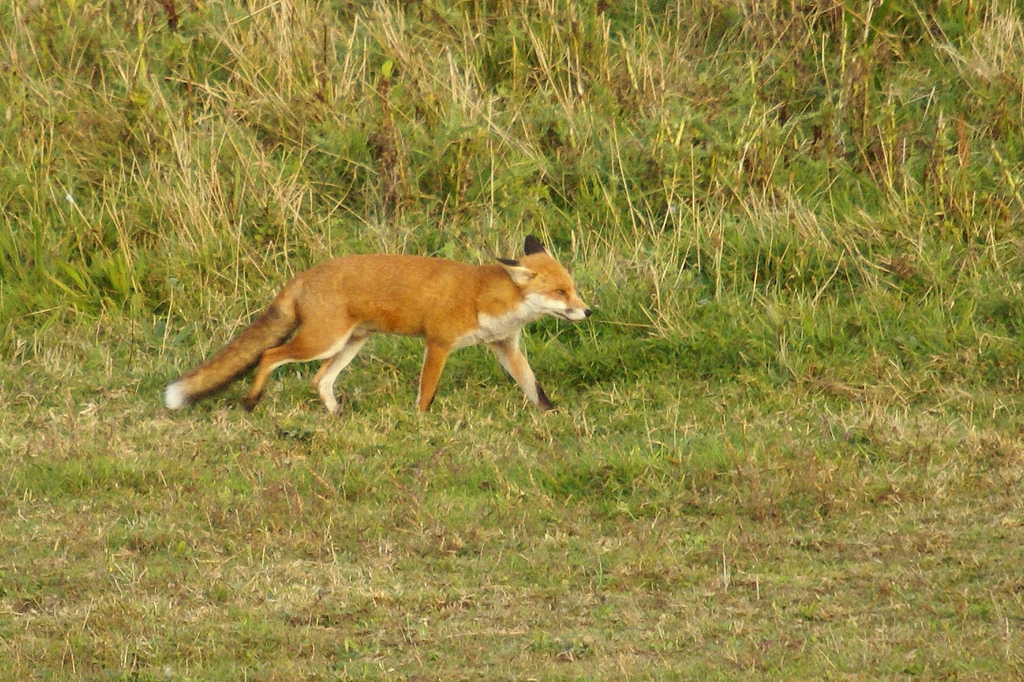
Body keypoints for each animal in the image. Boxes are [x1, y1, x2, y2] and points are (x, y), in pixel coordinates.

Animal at [164, 236, 591, 414]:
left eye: (573, 288)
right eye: (560, 292)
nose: (587, 311)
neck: (485, 297)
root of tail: (303, 275)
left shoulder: (505, 346)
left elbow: (534, 387)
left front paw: (551, 414)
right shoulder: (438, 343)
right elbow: (426, 392)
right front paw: (421, 422)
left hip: (350, 344)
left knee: (319, 380)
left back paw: (336, 414)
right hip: (321, 341)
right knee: (269, 354)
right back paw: (252, 401)